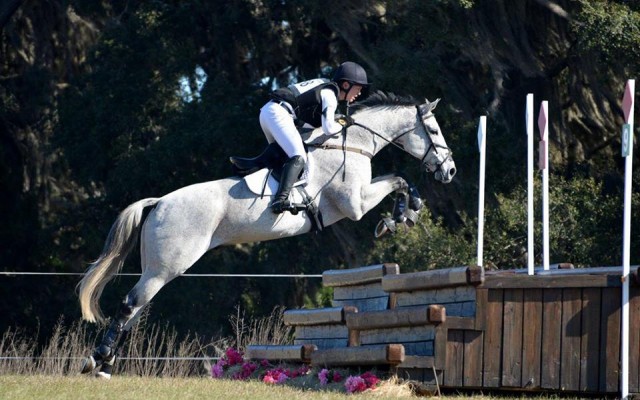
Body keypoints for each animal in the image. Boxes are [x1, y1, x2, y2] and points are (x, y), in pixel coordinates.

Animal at [77, 90, 456, 378]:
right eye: (435, 131)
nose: (450, 171)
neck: (352, 144)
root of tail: (159, 202)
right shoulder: (356, 203)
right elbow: (400, 180)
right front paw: (402, 215)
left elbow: (399, 180)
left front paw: (403, 214)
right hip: (166, 267)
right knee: (130, 304)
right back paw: (96, 359)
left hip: (157, 269)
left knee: (135, 310)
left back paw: (107, 365)